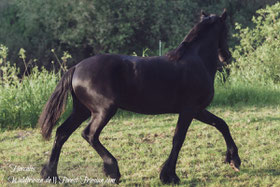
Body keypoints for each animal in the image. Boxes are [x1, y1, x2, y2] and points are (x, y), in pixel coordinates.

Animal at [38, 10, 241, 184]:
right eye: (226, 30)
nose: (226, 56)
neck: (196, 62)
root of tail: (76, 68)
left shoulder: (197, 110)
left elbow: (221, 124)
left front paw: (234, 160)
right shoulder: (189, 110)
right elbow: (178, 139)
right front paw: (169, 176)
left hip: (82, 111)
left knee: (62, 133)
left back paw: (51, 175)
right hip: (104, 111)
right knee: (89, 134)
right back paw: (113, 171)